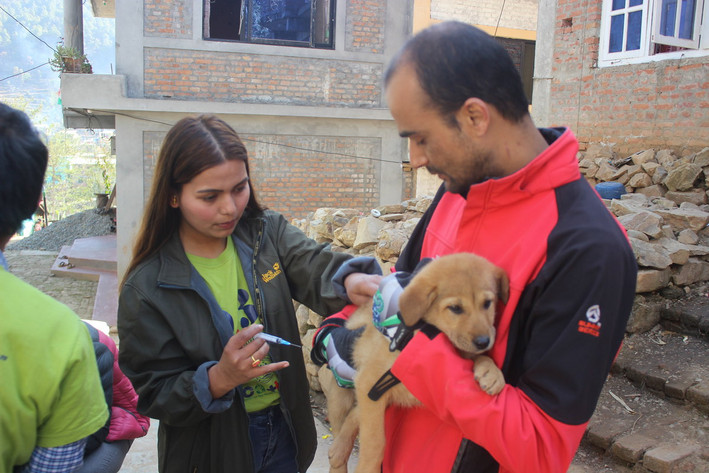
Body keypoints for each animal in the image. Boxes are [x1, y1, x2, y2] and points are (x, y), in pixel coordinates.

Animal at [320, 253, 508, 470]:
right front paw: (367, 467)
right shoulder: (368, 383)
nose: (484, 341)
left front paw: (492, 373)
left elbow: (477, 356)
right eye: (455, 308)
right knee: (341, 426)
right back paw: (338, 454)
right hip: (340, 396)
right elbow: (375, 443)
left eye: (488, 303)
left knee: (354, 415)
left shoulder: (372, 392)